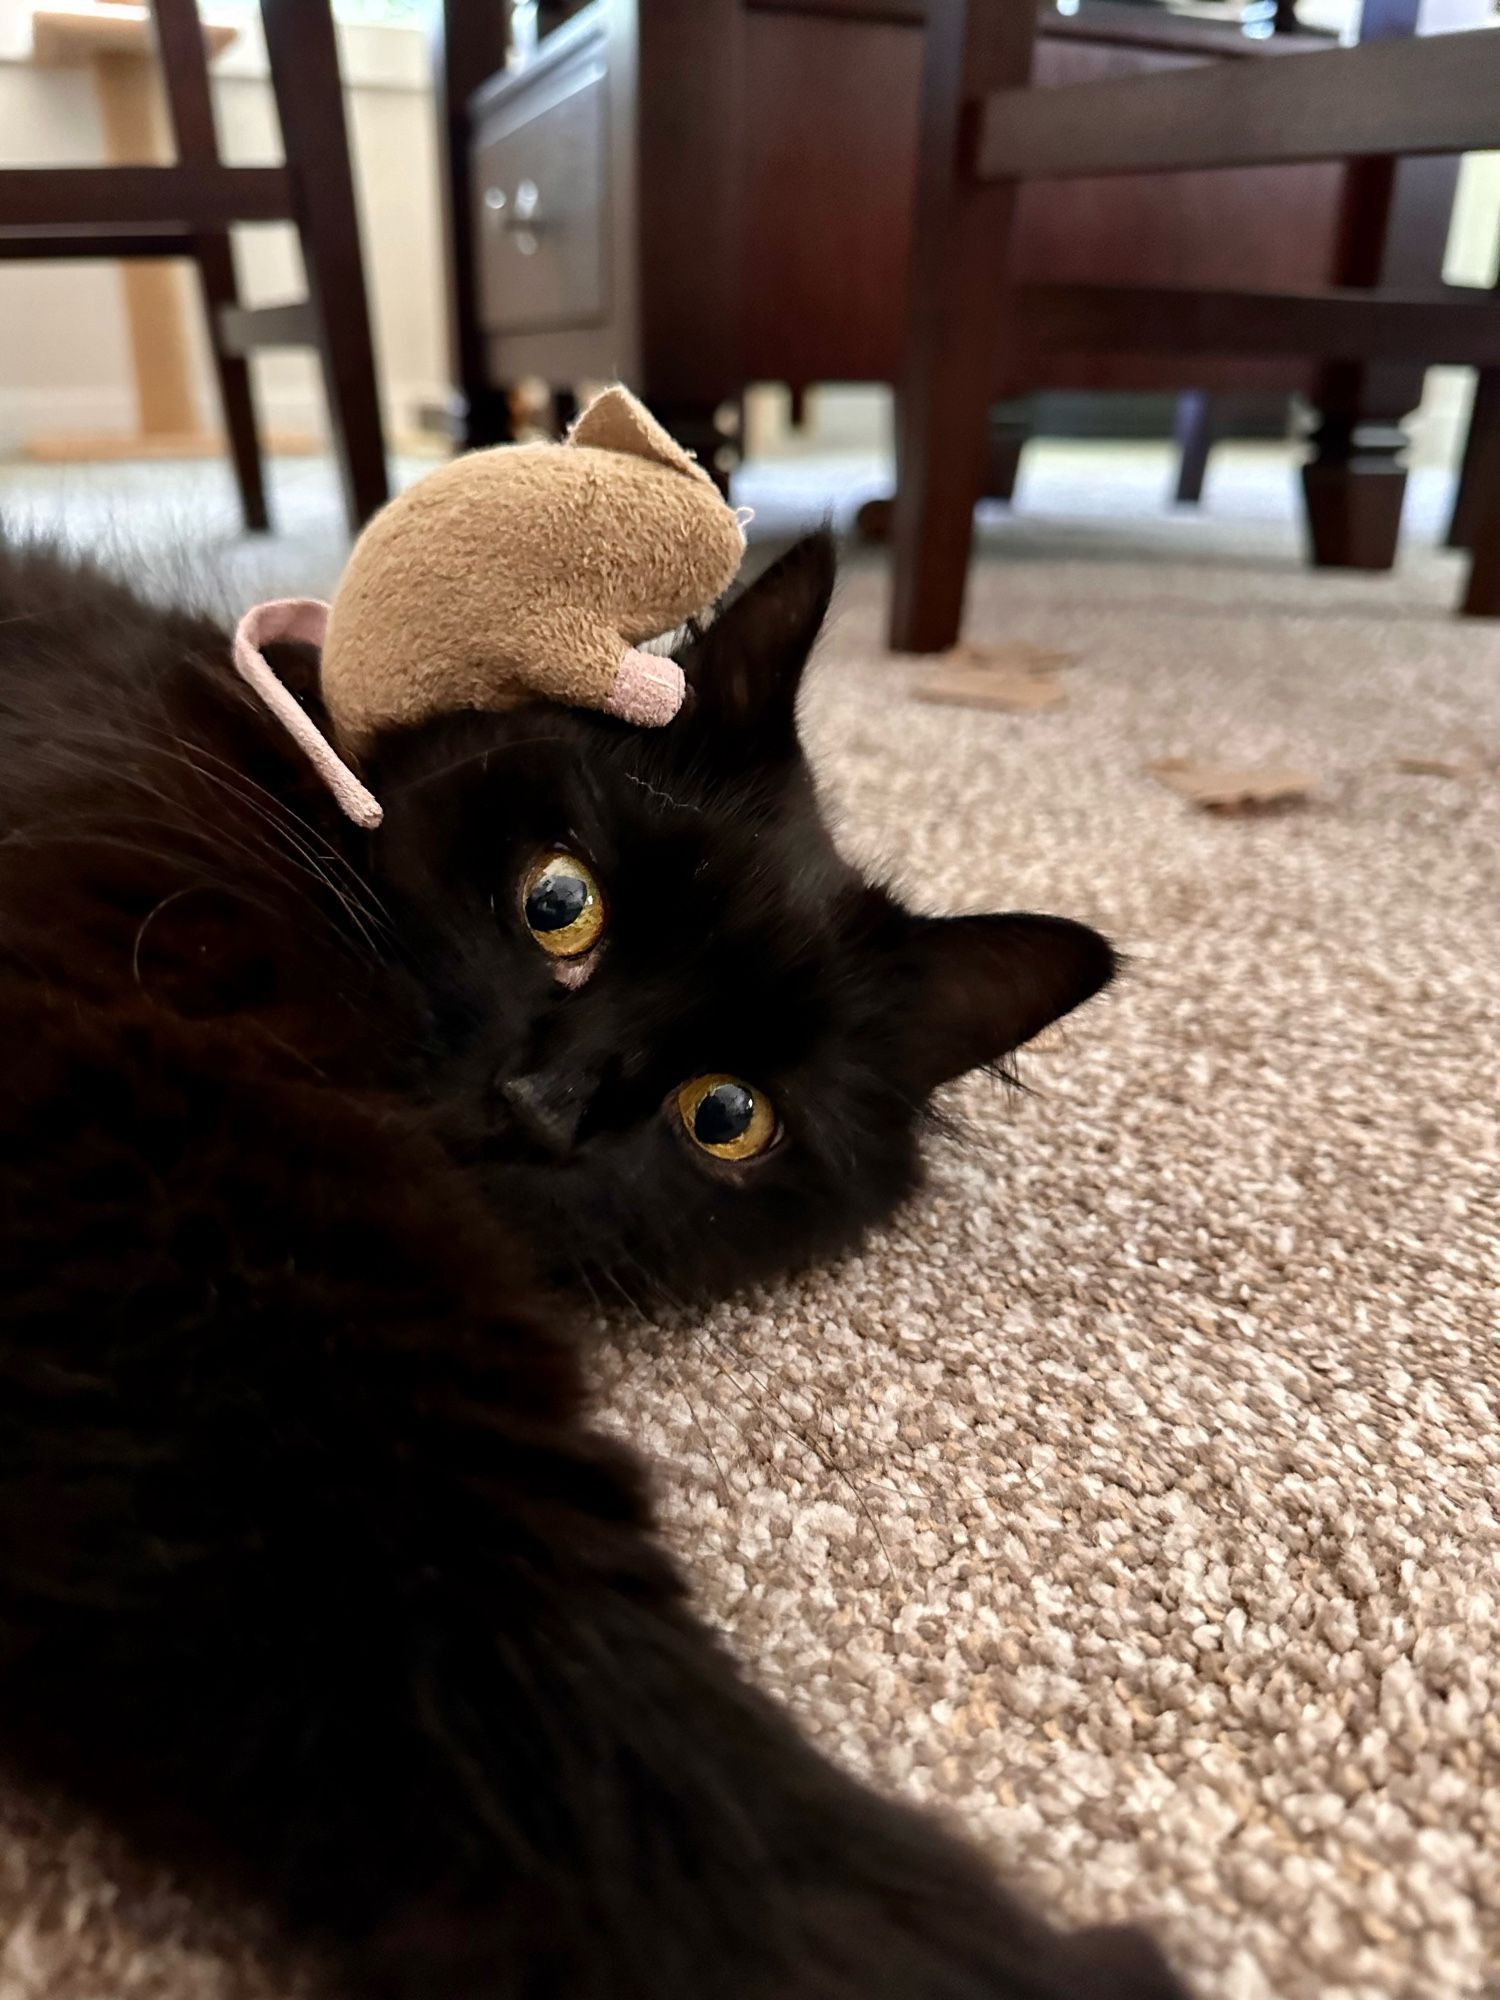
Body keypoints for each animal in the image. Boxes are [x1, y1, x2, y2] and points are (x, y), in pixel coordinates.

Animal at [0, 532, 1184, 2000]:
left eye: (725, 1115)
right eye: (560, 904)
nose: (544, 1105)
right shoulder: (148, 1143)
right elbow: (472, 1591)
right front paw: (878, 1940)